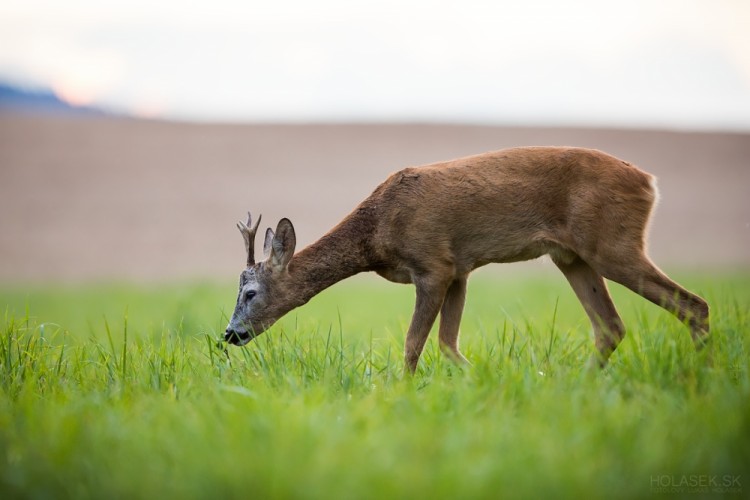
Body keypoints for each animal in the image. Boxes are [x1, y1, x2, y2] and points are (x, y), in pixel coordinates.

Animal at [223, 146, 712, 372]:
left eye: (250, 292)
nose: (229, 334)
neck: (377, 230)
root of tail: (649, 183)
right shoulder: (459, 269)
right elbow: (447, 343)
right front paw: (477, 380)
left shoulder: (432, 264)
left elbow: (413, 344)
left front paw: (400, 394)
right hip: (572, 257)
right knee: (610, 327)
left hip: (612, 245)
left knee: (694, 304)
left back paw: (701, 380)